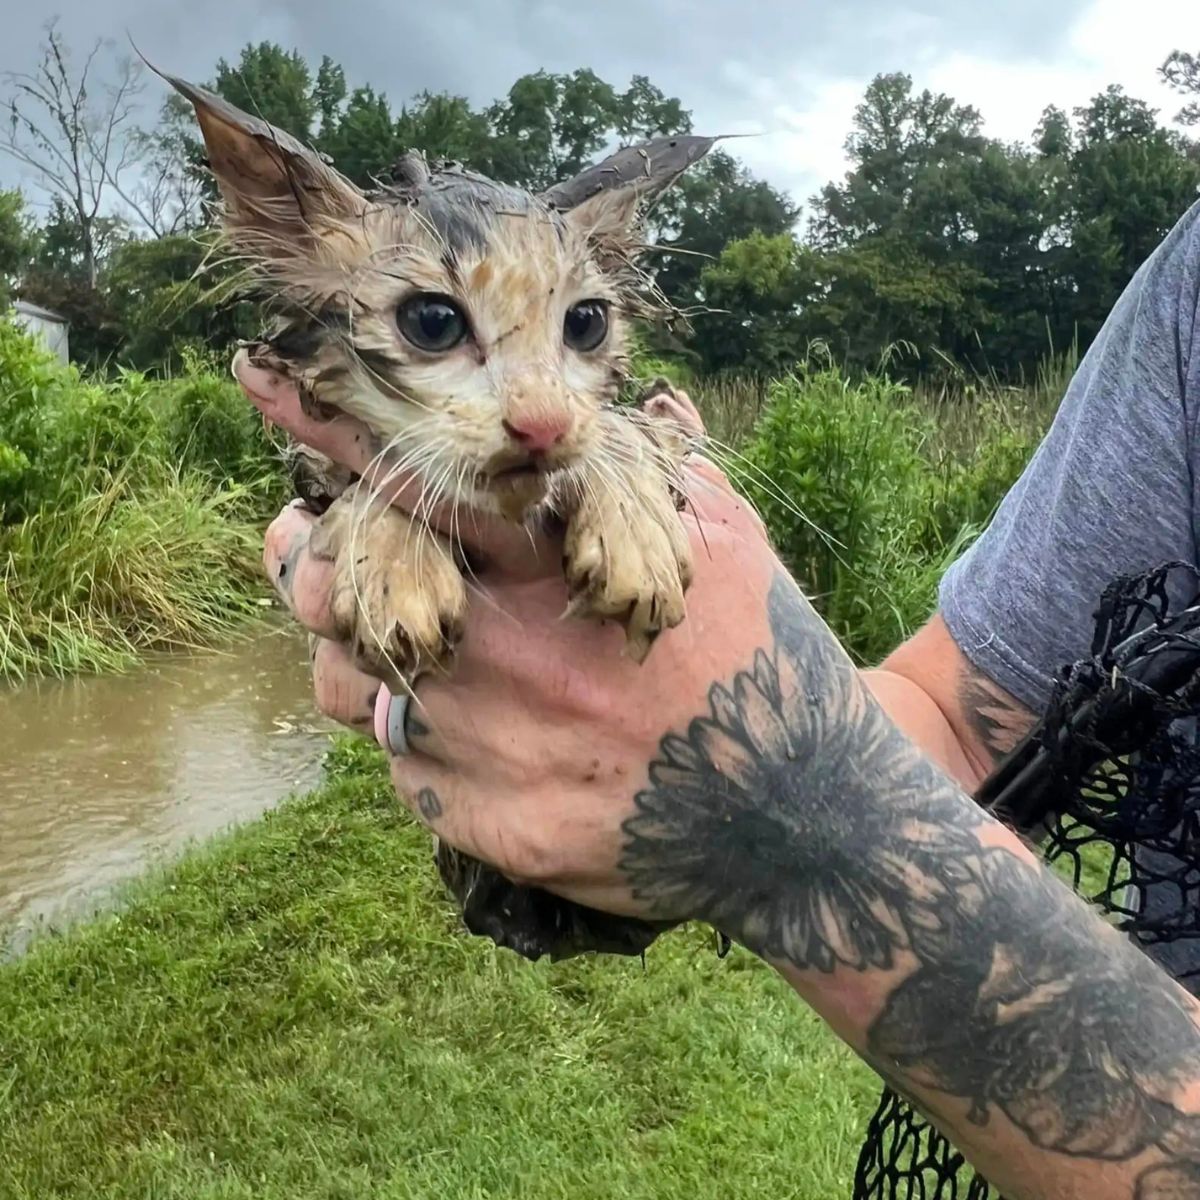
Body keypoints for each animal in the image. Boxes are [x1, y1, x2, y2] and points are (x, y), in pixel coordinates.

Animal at [164, 72, 715, 955]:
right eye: (433, 321)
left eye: (586, 323)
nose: (543, 425)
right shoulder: (311, 466)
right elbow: (368, 478)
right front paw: (396, 564)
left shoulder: (662, 415)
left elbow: (637, 423)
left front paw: (634, 526)